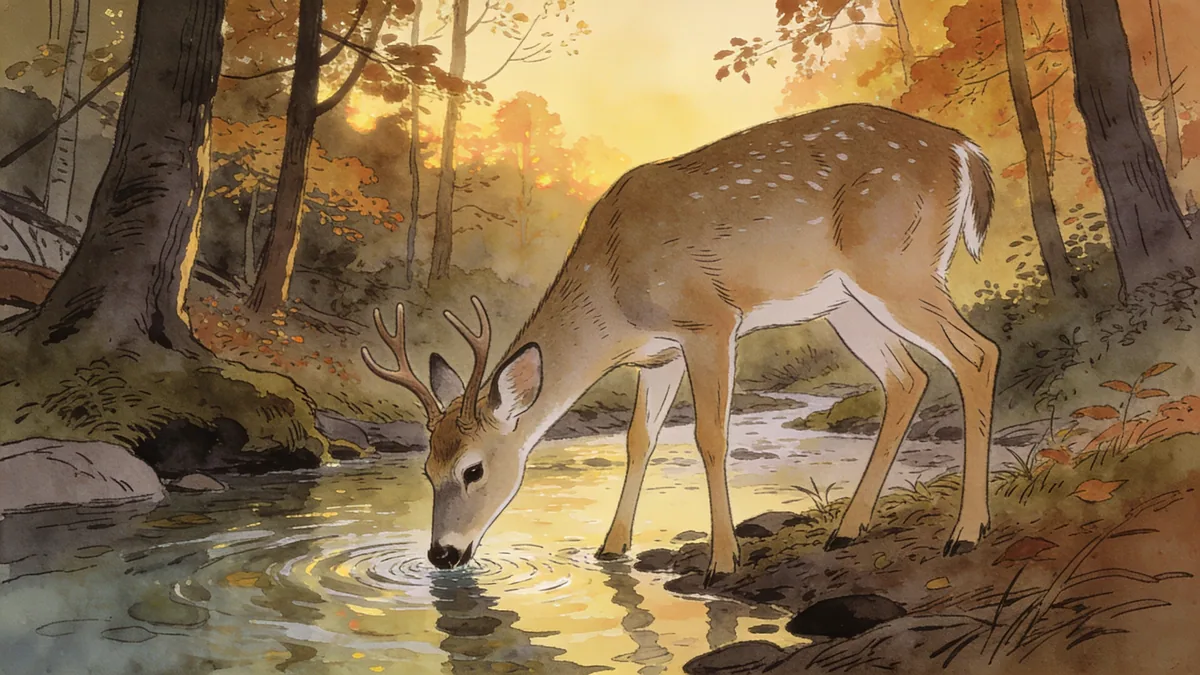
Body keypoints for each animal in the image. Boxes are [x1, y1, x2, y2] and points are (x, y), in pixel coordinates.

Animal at [363, 103, 998, 584]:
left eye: (472, 470)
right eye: (427, 469)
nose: (441, 554)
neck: (612, 295)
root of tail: (966, 150)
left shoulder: (709, 320)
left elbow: (710, 436)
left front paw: (723, 560)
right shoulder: (659, 354)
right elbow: (638, 440)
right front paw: (611, 547)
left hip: (900, 268)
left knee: (976, 353)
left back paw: (967, 532)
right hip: (847, 302)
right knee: (908, 378)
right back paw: (848, 529)